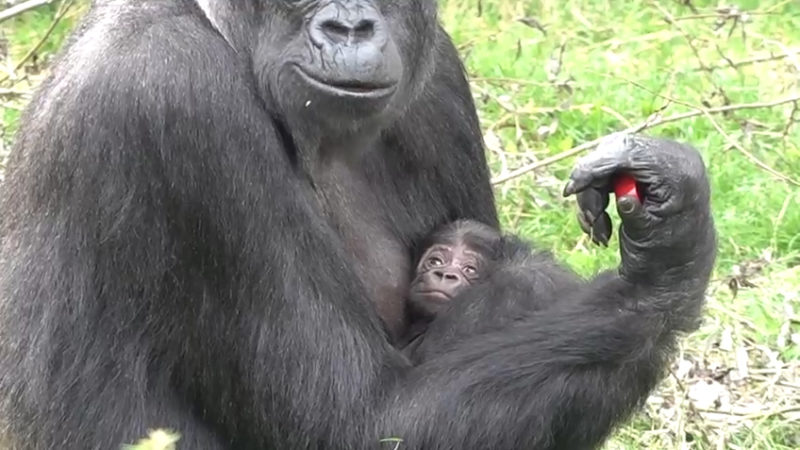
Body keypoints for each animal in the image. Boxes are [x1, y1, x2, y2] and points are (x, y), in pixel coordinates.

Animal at [0, 0, 712, 450]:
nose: (349, 25)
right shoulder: (175, 96)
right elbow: (357, 420)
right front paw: (669, 267)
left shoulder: (437, 72)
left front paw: (673, 205)